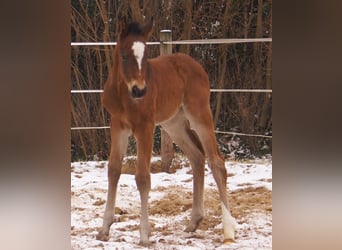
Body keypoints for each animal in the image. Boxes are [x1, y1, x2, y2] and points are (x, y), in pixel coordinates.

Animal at [95, 18, 236, 245]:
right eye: (124, 55)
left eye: (146, 56)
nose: (140, 90)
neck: (125, 94)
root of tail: (195, 65)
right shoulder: (117, 125)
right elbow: (114, 170)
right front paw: (104, 229)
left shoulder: (145, 126)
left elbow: (143, 177)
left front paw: (144, 234)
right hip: (174, 124)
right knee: (197, 157)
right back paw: (194, 221)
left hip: (199, 115)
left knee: (216, 161)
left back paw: (228, 230)